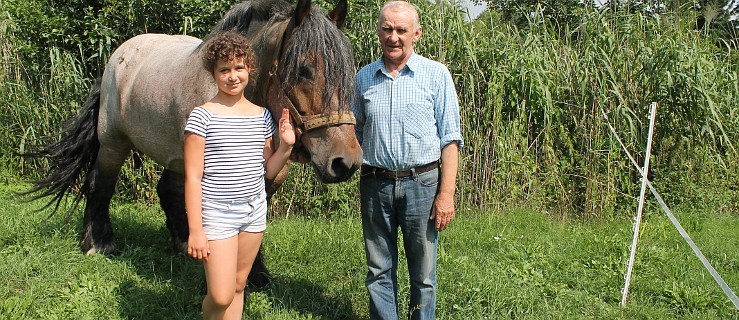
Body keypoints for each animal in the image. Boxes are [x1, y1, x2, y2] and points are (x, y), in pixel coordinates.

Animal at [21, 0, 362, 288]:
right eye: (304, 70)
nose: (346, 161)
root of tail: (117, 56)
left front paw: (255, 274)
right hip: (114, 142)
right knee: (99, 184)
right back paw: (98, 243)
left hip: (175, 156)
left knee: (167, 190)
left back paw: (183, 242)